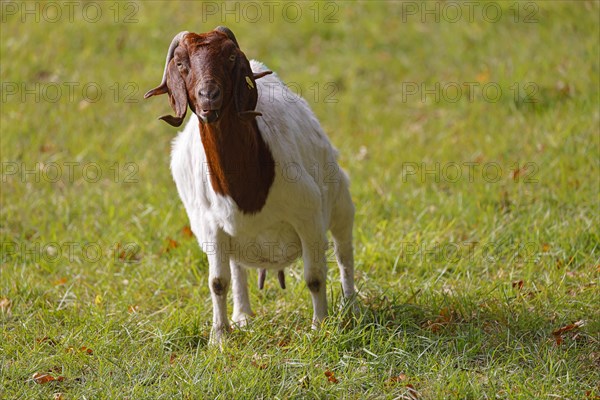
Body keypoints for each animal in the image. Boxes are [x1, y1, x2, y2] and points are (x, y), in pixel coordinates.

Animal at [144, 26, 354, 346]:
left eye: (231, 57)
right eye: (180, 63)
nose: (209, 97)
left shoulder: (308, 215)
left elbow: (315, 276)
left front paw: (320, 328)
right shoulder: (211, 228)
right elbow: (217, 282)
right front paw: (219, 337)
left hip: (341, 199)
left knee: (344, 251)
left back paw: (351, 307)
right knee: (237, 268)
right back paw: (242, 316)